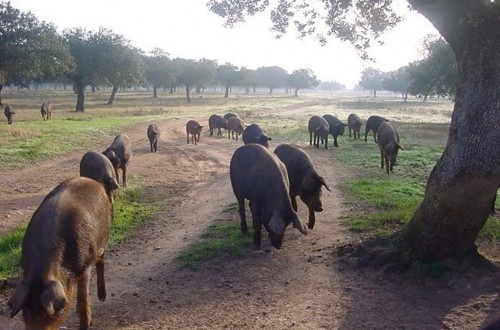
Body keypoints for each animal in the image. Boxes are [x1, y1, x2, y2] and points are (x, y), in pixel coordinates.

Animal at [7, 178, 114, 330]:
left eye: (50, 314)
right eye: (26, 310)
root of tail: (93, 181)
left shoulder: (84, 265)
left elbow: (83, 297)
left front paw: (86, 326)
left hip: (102, 240)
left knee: (101, 261)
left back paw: (102, 297)